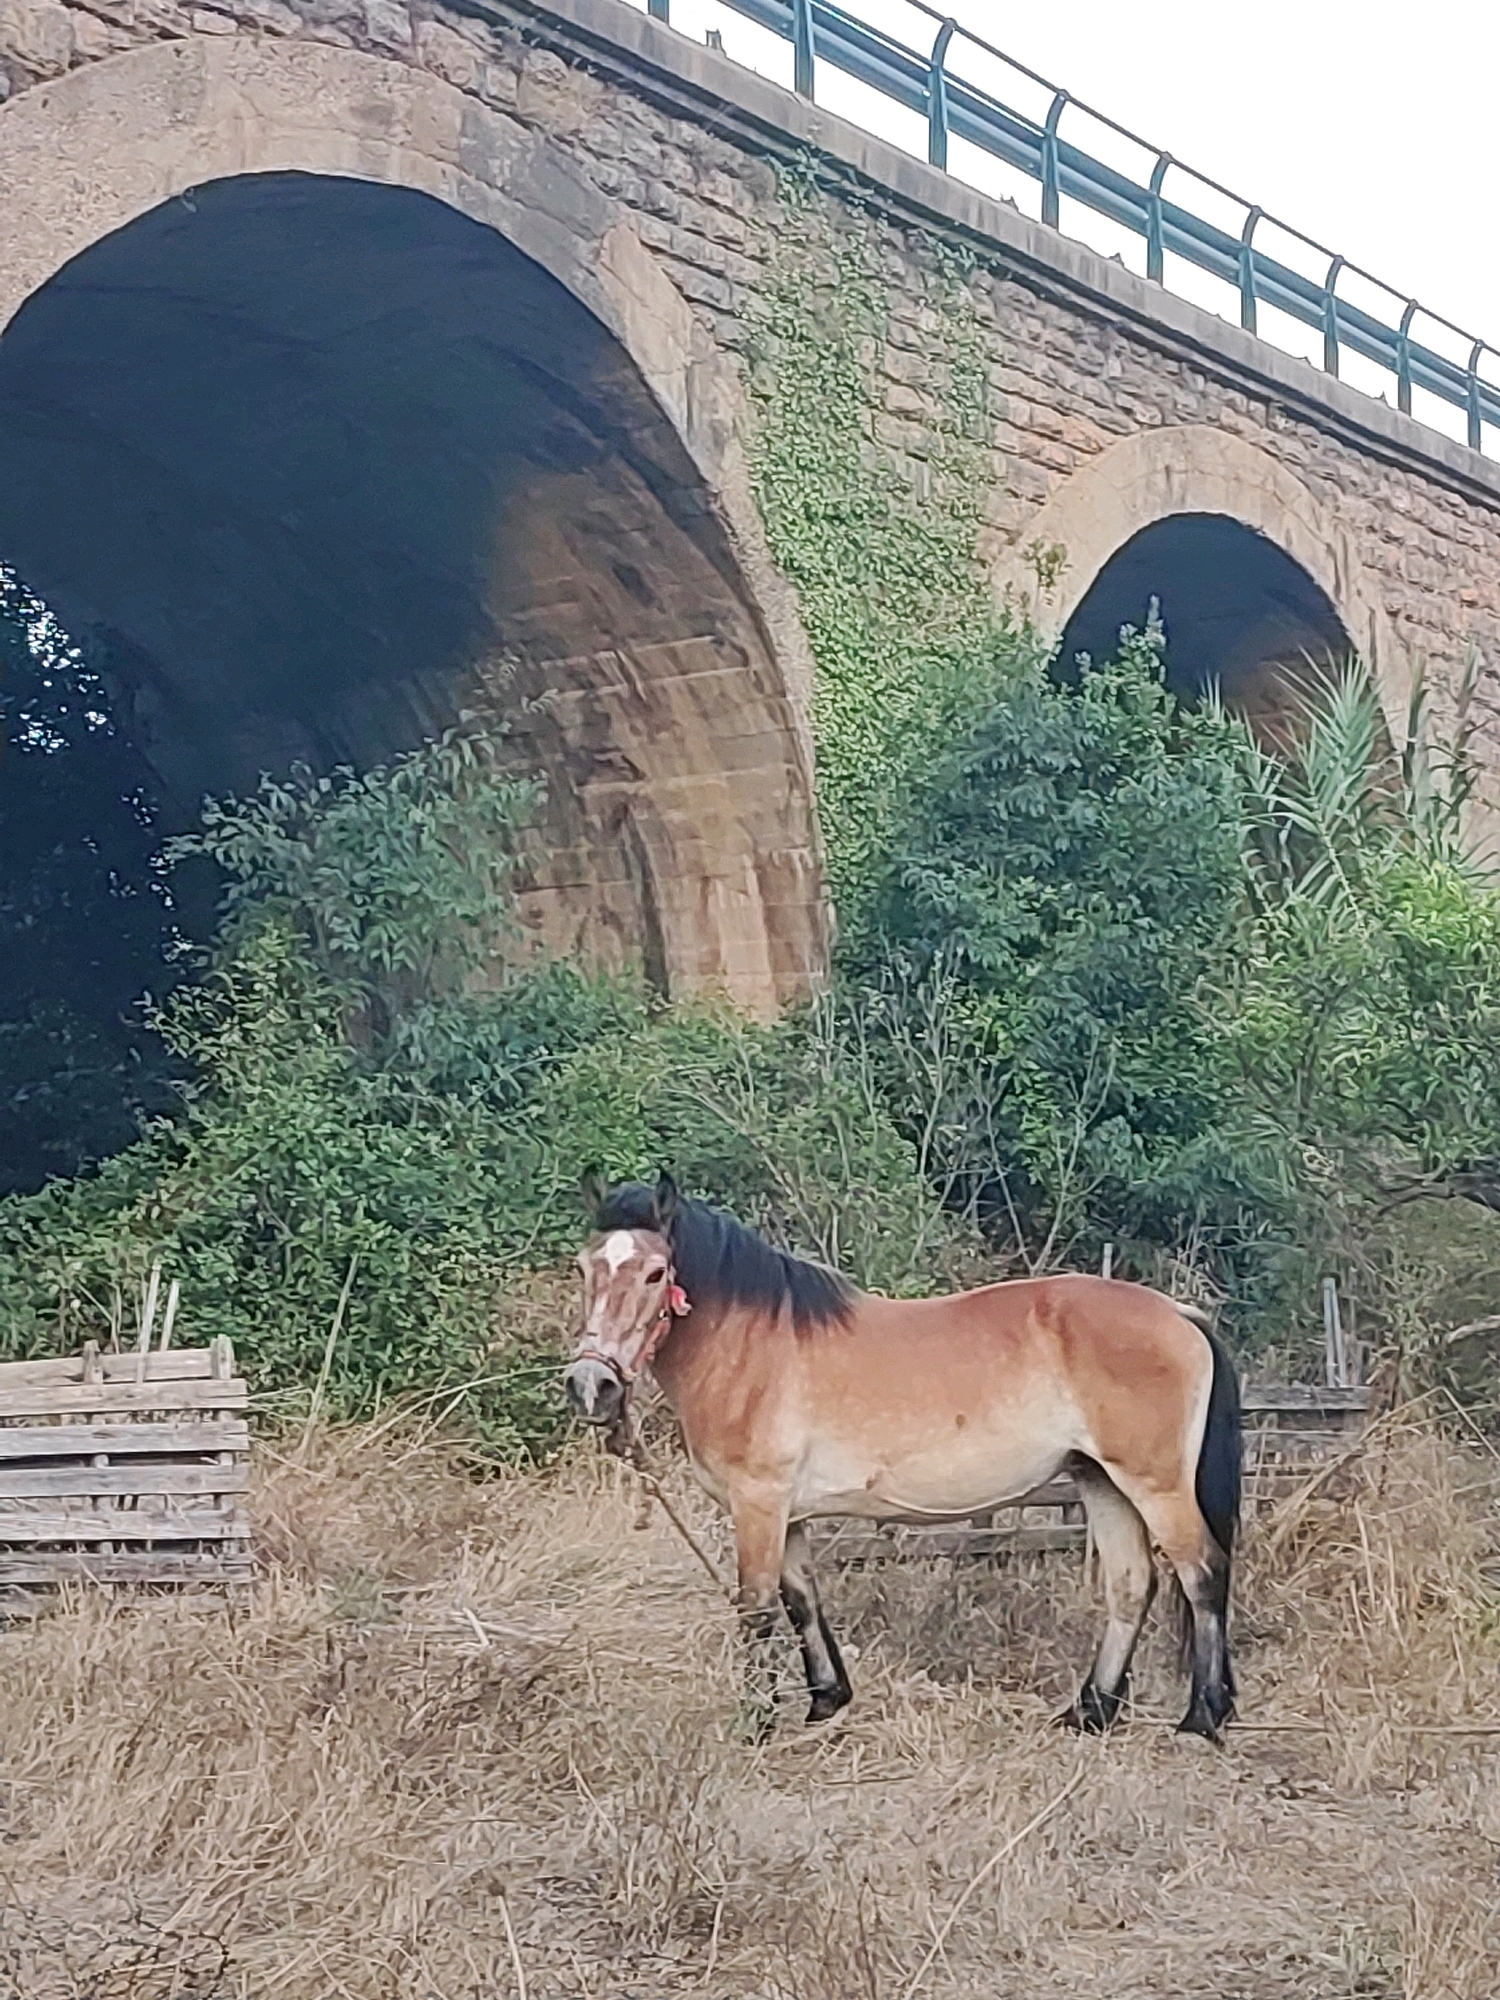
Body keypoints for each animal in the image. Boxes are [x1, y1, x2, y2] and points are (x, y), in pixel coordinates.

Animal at [563, 1172, 1241, 1741]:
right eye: (584, 1267)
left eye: (655, 1274)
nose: (591, 1385)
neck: (750, 1345)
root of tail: (1178, 1312)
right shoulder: (789, 1513)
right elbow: (802, 1599)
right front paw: (825, 1700)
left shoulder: (758, 1504)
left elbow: (755, 1609)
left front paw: (755, 1721)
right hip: (1101, 1480)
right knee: (1131, 1584)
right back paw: (1090, 1711)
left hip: (1154, 1485)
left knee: (1202, 1573)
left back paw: (1201, 1717)